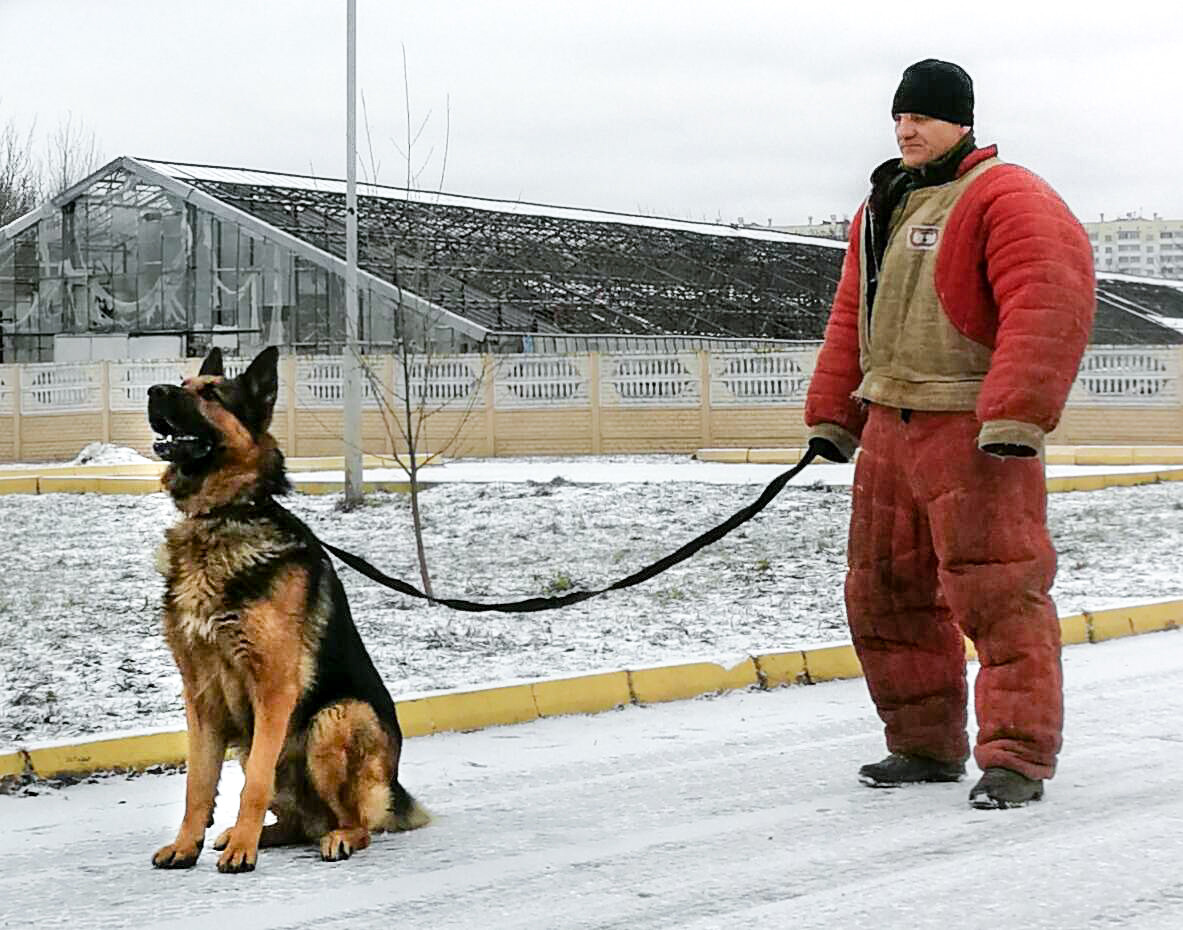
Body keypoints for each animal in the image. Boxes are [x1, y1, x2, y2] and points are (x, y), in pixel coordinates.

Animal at [146, 345, 425, 870]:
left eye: (211, 394)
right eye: (183, 383)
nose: (153, 391)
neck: (223, 516)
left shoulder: (274, 689)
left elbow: (254, 782)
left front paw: (243, 851)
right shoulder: (200, 696)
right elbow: (198, 784)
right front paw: (188, 843)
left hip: (336, 719)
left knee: (358, 823)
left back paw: (333, 837)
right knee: (296, 823)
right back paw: (251, 834)